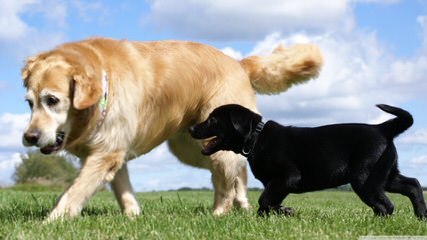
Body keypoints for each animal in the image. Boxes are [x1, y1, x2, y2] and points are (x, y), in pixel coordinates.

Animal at [191, 104, 427, 218]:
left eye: (213, 119)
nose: (191, 128)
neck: (256, 139)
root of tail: (382, 128)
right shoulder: (276, 183)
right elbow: (266, 203)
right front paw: (273, 215)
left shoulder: (288, 177)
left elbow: (265, 200)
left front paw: (285, 211)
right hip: (386, 175)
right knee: (413, 184)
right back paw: (421, 216)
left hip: (365, 179)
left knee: (386, 205)